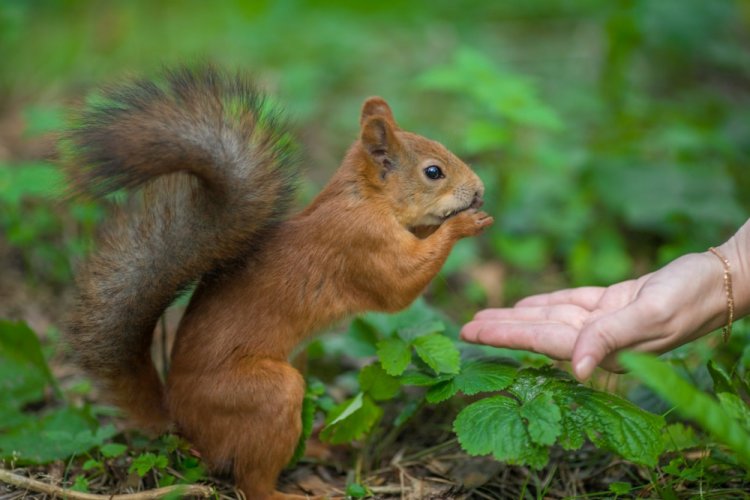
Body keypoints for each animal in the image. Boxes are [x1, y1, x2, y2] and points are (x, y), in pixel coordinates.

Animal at [64, 66, 494, 500]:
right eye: (433, 171)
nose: (479, 190)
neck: (365, 197)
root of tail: (180, 422)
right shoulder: (361, 243)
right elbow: (398, 289)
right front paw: (463, 223)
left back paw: (321, 446)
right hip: (267, 395)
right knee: (252, 480)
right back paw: (291, 491)